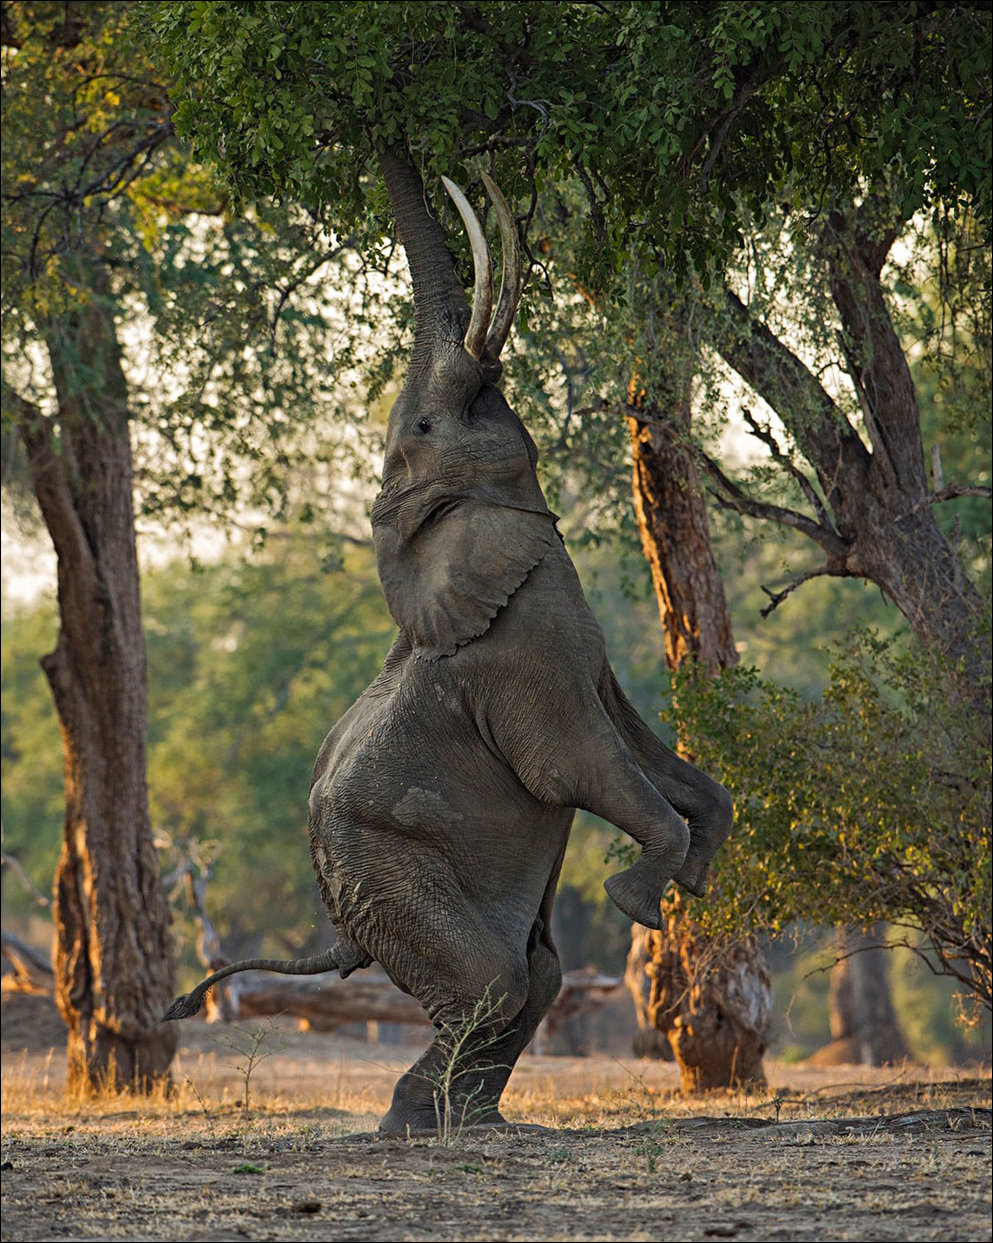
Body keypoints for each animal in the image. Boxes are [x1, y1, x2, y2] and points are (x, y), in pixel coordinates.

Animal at [162, 150, 735, 1133]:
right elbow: (577, 765)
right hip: (383, 868)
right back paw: (413, 1125)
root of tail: (339, 927)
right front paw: (640, 902)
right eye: (428, 427)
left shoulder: (582, 653)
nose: (396, 144)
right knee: (496, 978)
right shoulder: (520, 659)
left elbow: (654, 756)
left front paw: (694, 874)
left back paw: (472, 1123)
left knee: (534, 975)